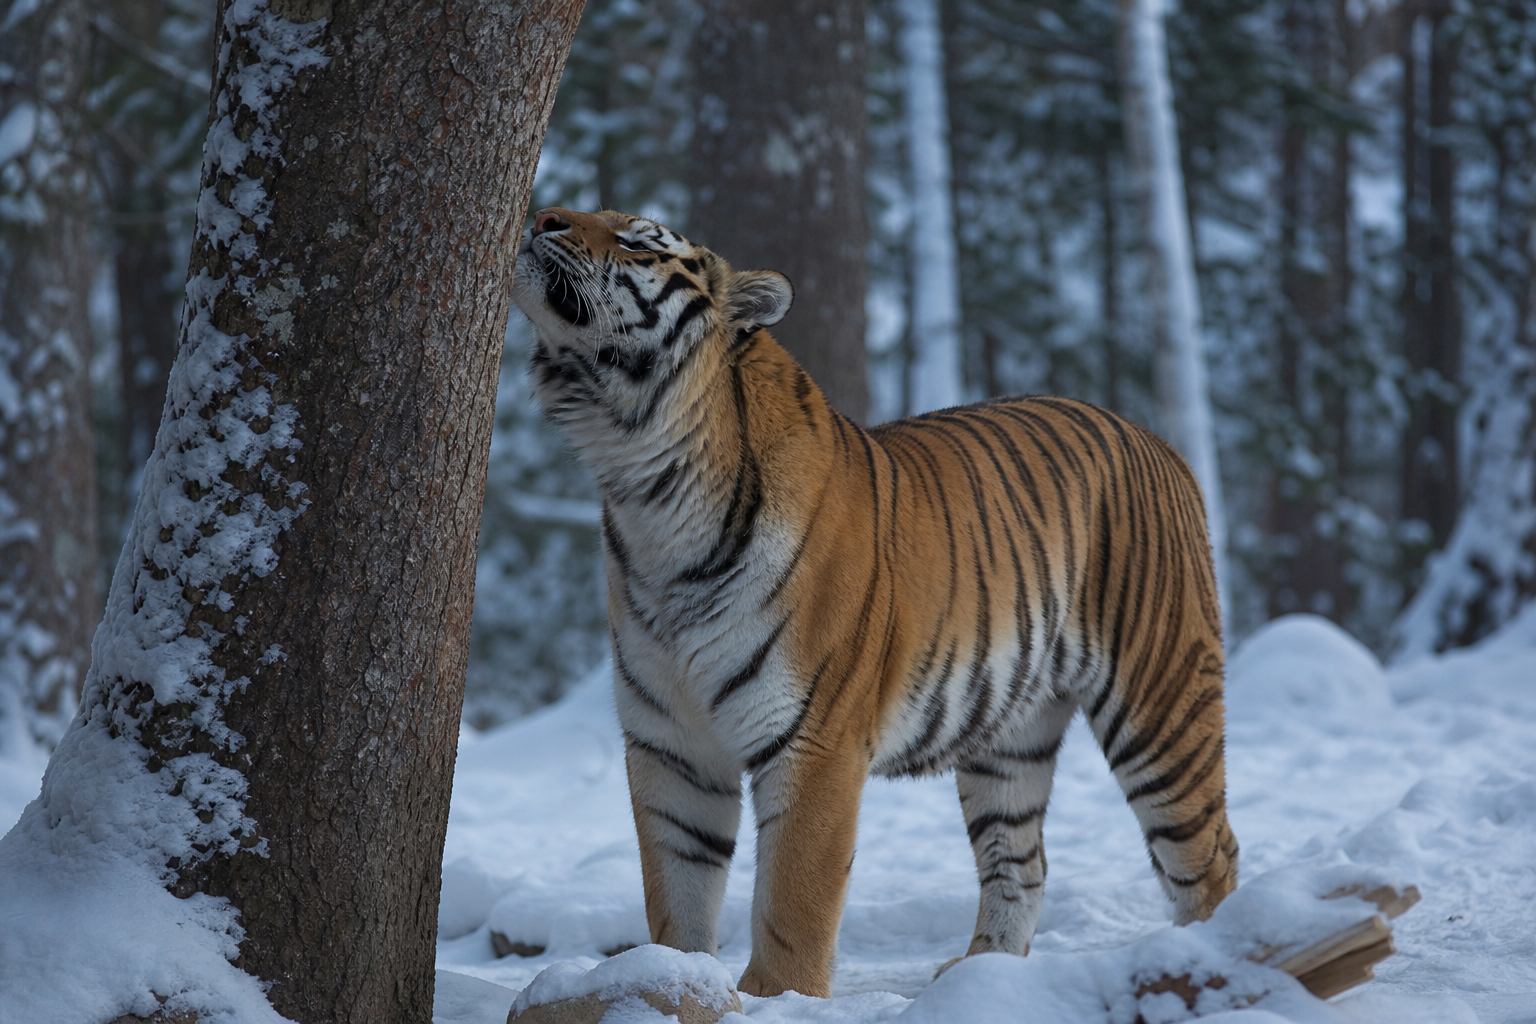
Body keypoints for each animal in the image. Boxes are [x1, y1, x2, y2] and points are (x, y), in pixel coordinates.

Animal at [510, 207, 1239, 999]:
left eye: (638, 239)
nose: (543, 214)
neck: (646, 488)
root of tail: (1156, 441)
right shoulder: (669, 744)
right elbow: (675, 891)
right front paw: (675, 979)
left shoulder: (815, 737)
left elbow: (794, 898)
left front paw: (775, 998)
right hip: (1010, 738)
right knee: (1023, 861)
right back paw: (979, 978)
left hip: (1161, 705)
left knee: (1209, 855)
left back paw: (1221, 959)